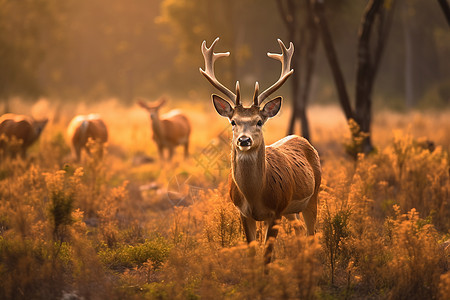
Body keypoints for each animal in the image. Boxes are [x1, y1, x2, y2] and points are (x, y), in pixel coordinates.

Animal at [200, 38, 320, 264]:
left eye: (259, 121)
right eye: (233, 121)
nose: (244, 140)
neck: (254, 195)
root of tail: (302, 138)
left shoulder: (276, 211)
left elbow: (267, 256)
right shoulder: (243, 212)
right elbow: (252, 252)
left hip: (313, 195)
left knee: (312, 233)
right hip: (291, 210)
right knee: (300, 231)